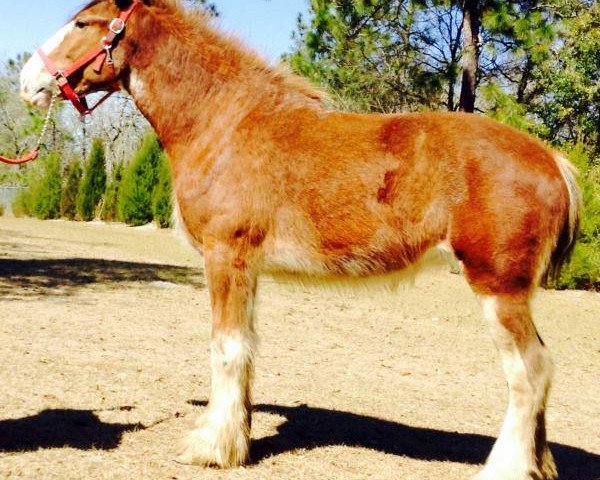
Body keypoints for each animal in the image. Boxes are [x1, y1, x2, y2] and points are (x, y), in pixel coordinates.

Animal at [18, 1, 580, 478]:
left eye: (84, 22)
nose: (28, 81)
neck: (224, 121)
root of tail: (552, 161)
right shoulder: (248, 269)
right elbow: (246, 350)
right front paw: (238, 440)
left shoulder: (225, 258)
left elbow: (225, 348)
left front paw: (210, 448)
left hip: (498, 289)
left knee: (530, 371)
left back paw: (506, 467)